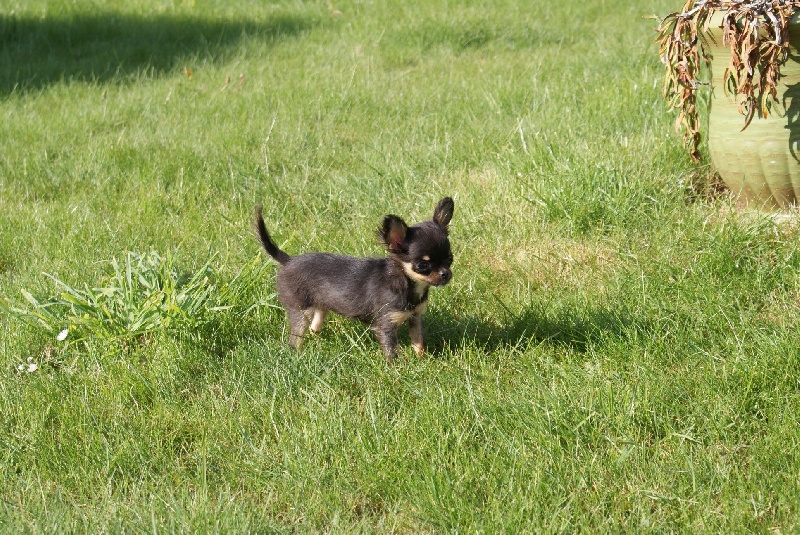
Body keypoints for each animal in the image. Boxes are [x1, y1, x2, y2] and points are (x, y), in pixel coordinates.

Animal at [256, 197, 456, 360]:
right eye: (422, 265)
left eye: (450, 258)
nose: (445, 274)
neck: (406, 283)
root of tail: (289, 261)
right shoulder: (386, 324)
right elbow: (391, 351)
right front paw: (397, 370)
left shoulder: (416, 317)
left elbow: (419, 342)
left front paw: (422, 359)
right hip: (300, 311)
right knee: (295, 339)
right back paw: (297, 355)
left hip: (320, 307)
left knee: (314, 327)